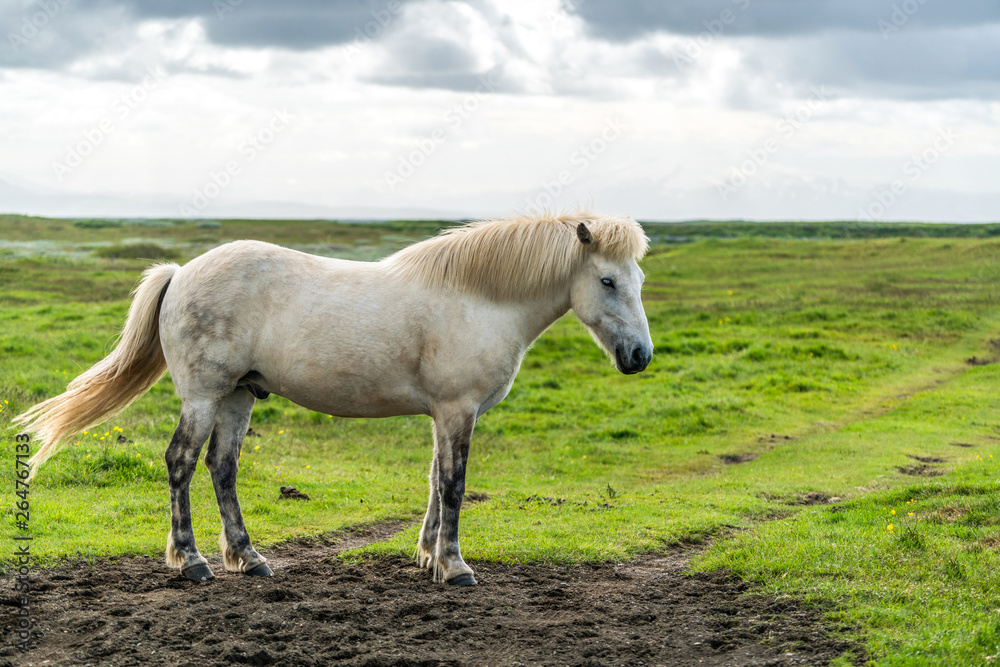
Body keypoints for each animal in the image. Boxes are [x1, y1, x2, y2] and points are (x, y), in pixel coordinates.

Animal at [19, 211, 656, 588]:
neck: (477, 298)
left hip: (238, 397)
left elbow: (433, 479)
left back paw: (248, 558)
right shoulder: (457, 411)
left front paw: (427, 556)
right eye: (607, 281)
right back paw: (193, 561)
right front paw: (454, 566)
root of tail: (181, 272)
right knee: (180, 463)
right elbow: (453, 484)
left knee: (222, 468)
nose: (640, 356)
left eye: (639, 281)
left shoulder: (443, 414)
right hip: (204, 396)